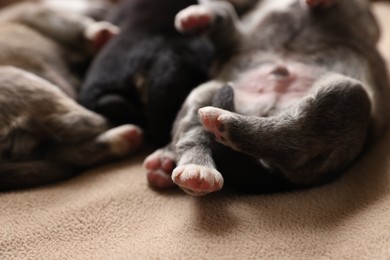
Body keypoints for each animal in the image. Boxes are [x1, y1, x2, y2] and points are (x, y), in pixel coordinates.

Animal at [0, 1, 142, 190]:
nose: (103, 9)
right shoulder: (34, 12)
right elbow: (72, 25)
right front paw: (101, 33)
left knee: (67, 153)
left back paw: (123, 139)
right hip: (32, 88)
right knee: (79, 124)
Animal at [144, 0, 390, 195]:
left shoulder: (364, 16)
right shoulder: (237, 40)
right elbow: (226, 17)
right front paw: (196, 16)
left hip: (346, 93)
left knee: (294, 136)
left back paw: (222, 127)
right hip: (205, 91)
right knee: (192, 133)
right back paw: (192, 168)